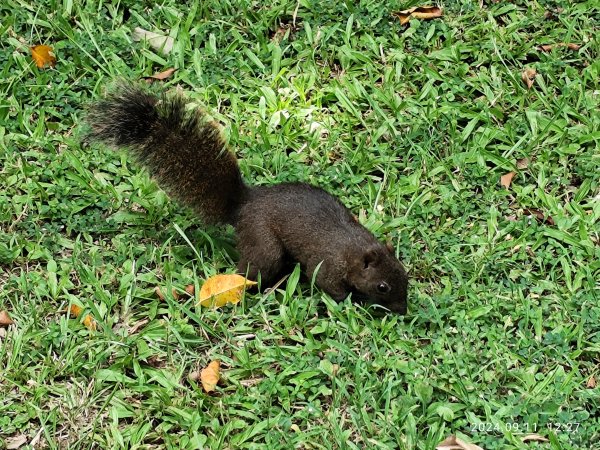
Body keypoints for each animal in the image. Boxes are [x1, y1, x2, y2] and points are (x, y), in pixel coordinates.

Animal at [86, 83, 410, 312]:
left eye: (404, 275)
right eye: (382, 287)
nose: (402, 311)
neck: (355, 248)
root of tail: (244, 205)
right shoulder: (328, 264)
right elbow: (329, 285)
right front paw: (349, 303)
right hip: (263, 240)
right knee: (252, 268)